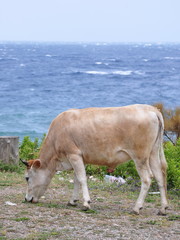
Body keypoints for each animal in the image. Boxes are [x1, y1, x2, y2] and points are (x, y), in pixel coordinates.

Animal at [21, 104, 168, 215]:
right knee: (159, 176)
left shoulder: (73, 154)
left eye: (27, 178)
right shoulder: (80, 158)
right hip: (153, 153)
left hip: (140, 156)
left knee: (147, 178)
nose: (27, 199)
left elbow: (82, 179)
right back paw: (163, 208)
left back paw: (137, 207)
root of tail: (152, 109)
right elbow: (76, 179)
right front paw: (73, 201)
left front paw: (86, 203)